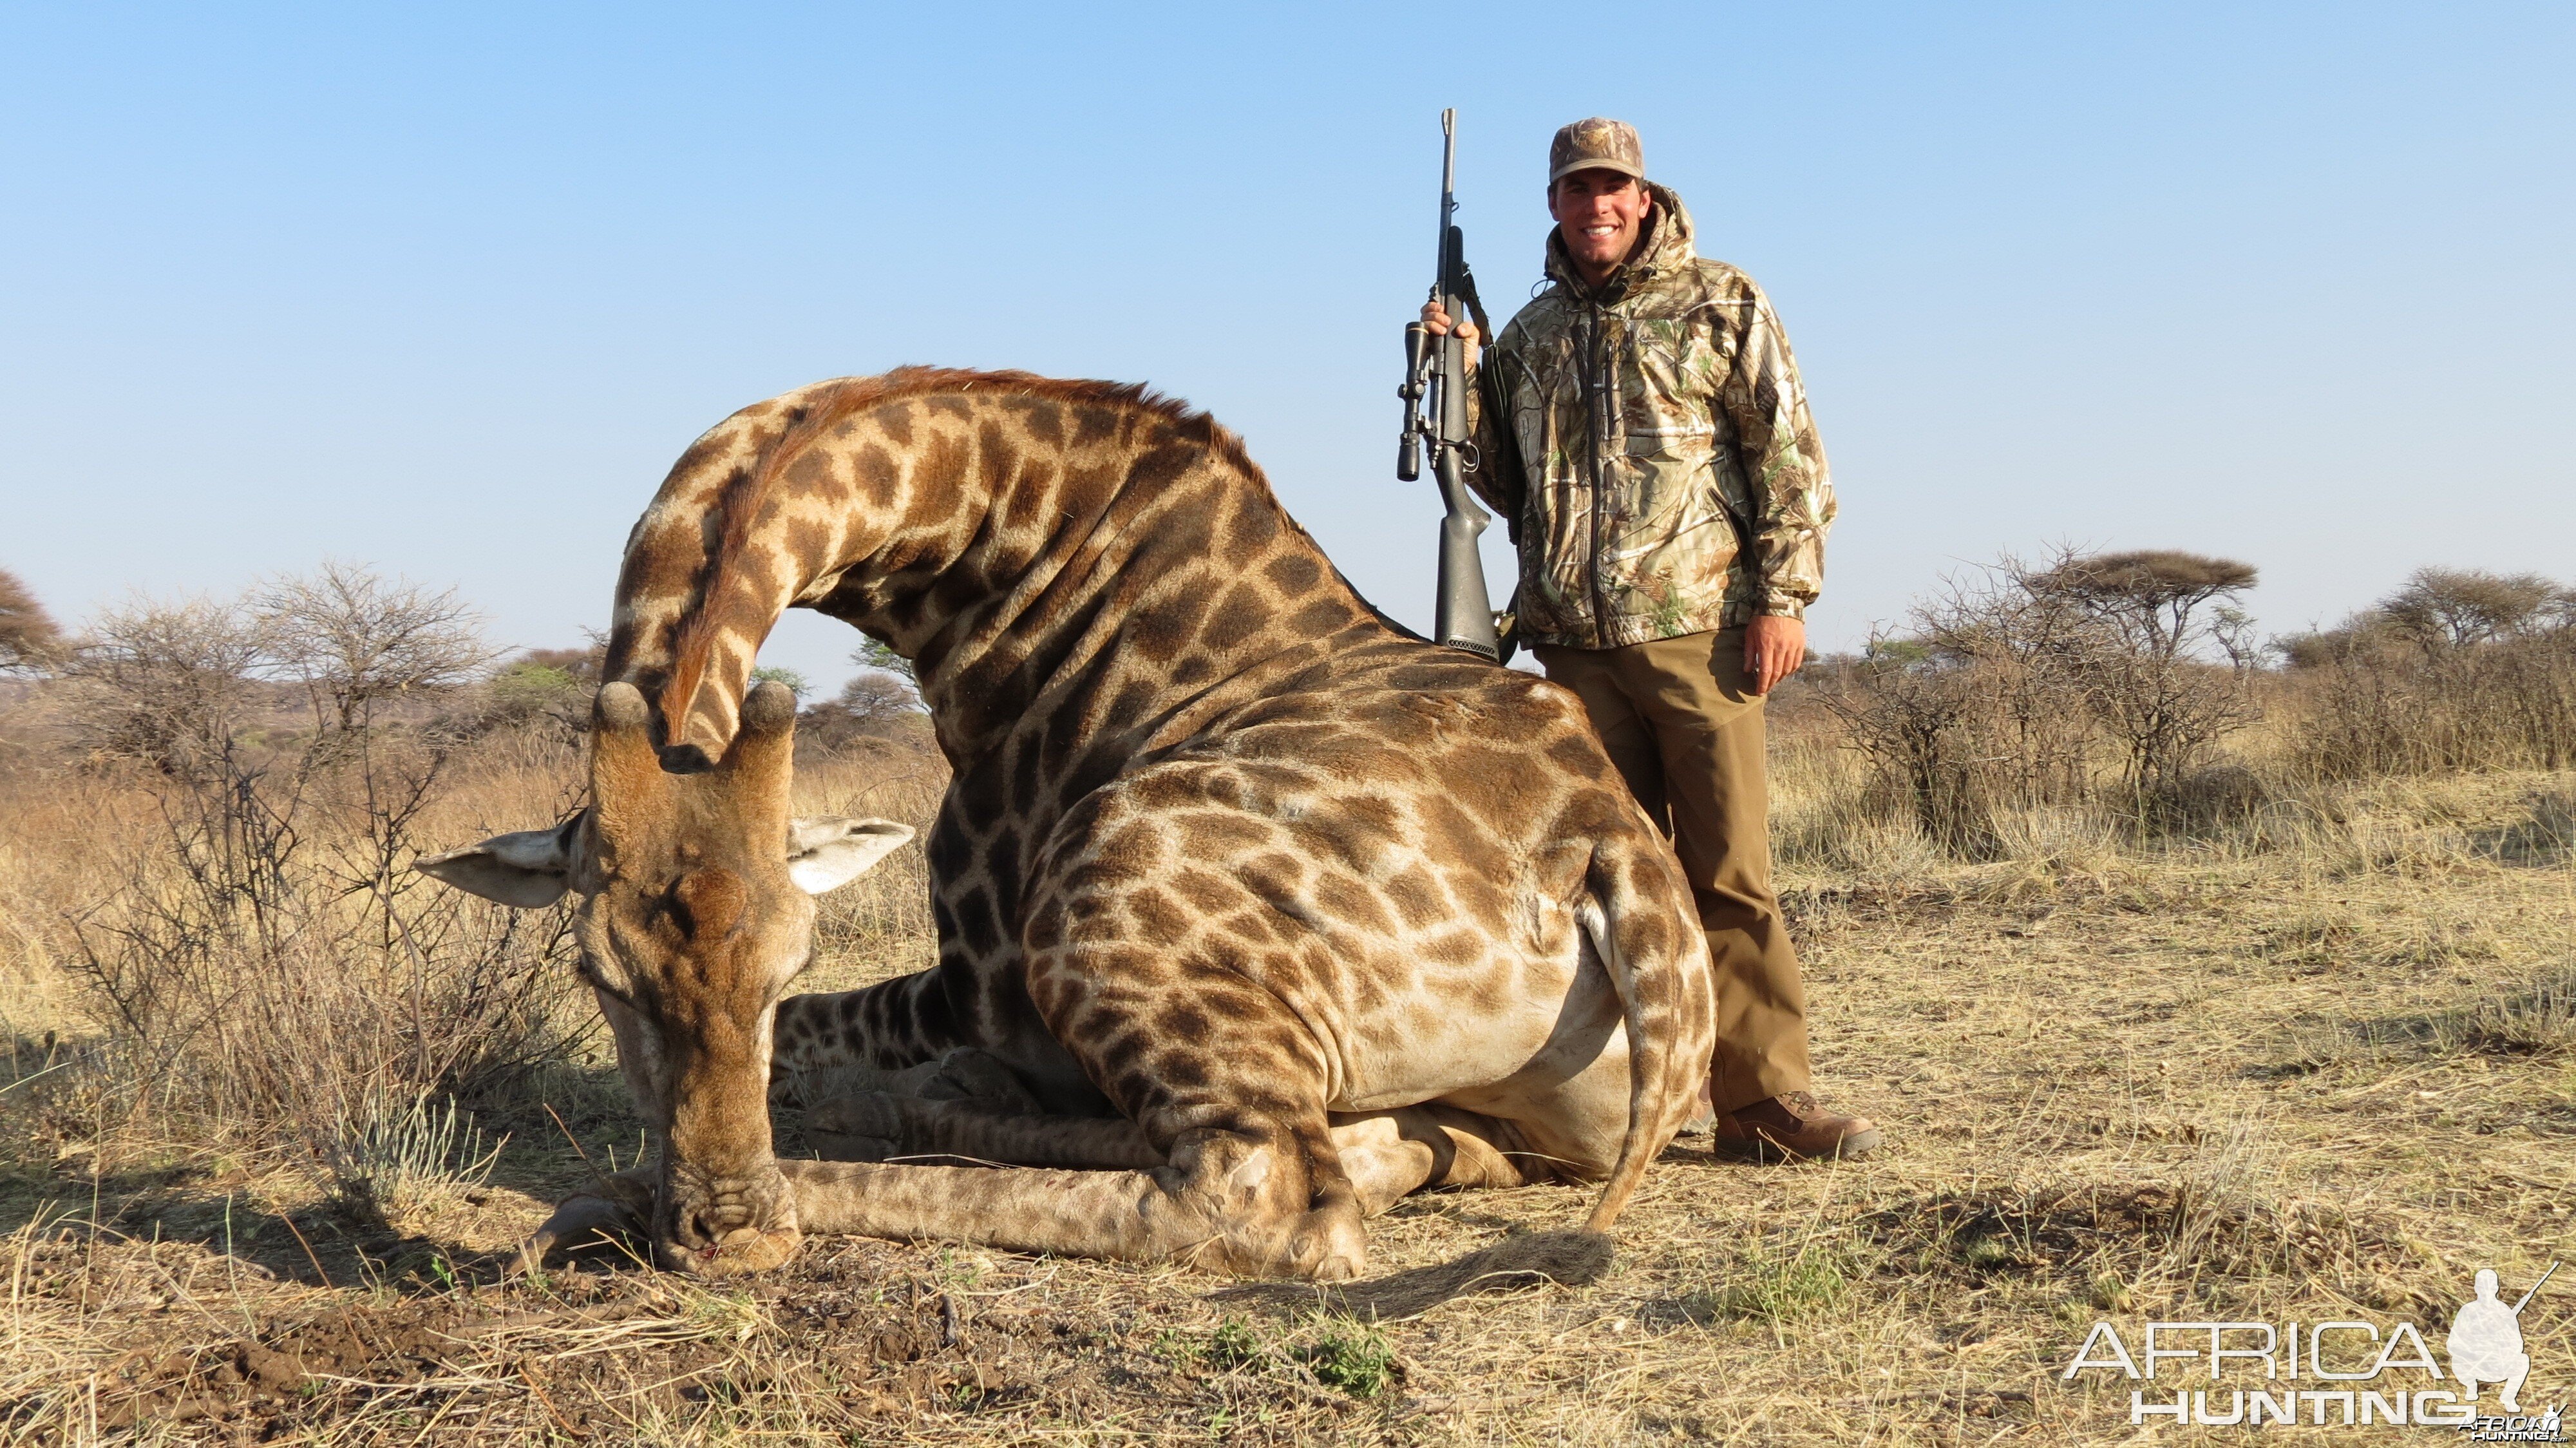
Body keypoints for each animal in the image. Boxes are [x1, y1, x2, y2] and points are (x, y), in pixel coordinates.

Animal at [417, 363, 1710, 1273]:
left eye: (791, 965)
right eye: (601, 976)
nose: (726, 1230)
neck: (998, 564)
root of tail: (1610, 855)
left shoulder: (979, 974)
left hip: (1097, 890)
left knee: (1269, 1198)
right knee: (1396, 1150)